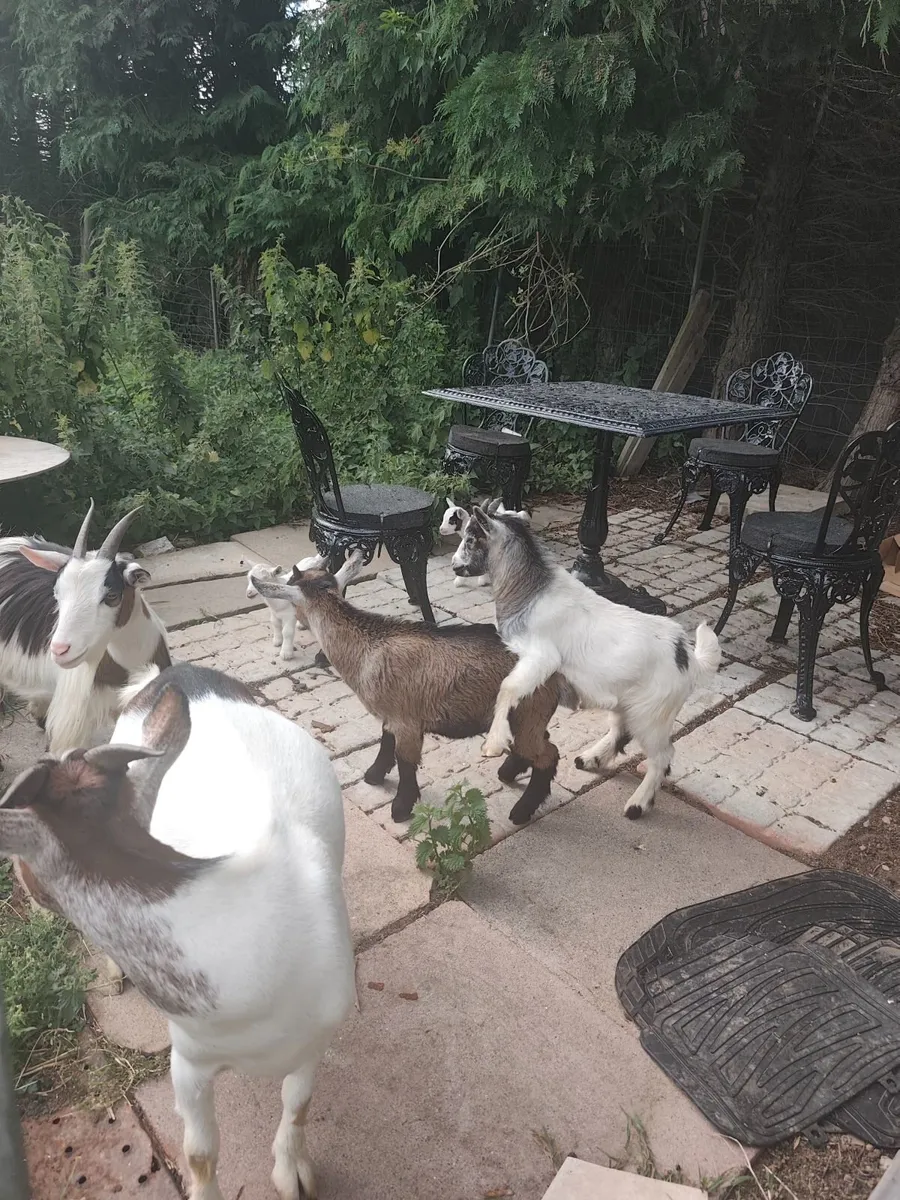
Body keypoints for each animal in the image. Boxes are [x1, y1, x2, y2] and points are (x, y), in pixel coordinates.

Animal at [0, 661, 354, 1200]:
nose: (21, 882)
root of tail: (178, 670)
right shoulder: (188, 1060)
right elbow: (200, 1151)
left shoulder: (318, 1034)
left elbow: (298, 1105)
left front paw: (292, 1174)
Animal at [251, 557, 573, 826]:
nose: (299, 623)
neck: (366, 649)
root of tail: (555, 666)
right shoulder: (390, 716)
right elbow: (385, 744)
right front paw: (373, 776)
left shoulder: (407, 721)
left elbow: (405, 762)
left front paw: (401, 808)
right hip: (528, 713)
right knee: (539, 742)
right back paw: (507, 773)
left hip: (529, 711)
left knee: (549, 754)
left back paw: (521, 811)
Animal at [452, 501, 722, 820]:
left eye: (471, 539)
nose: (455, 565)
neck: (529, 591)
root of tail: (689, 658)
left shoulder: (540, 657)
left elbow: (507, 688)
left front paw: (493, 743)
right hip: (628, 703)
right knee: (620, 731)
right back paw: (591, 758)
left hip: (653, 714)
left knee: (662, 756)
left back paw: (637, 804)